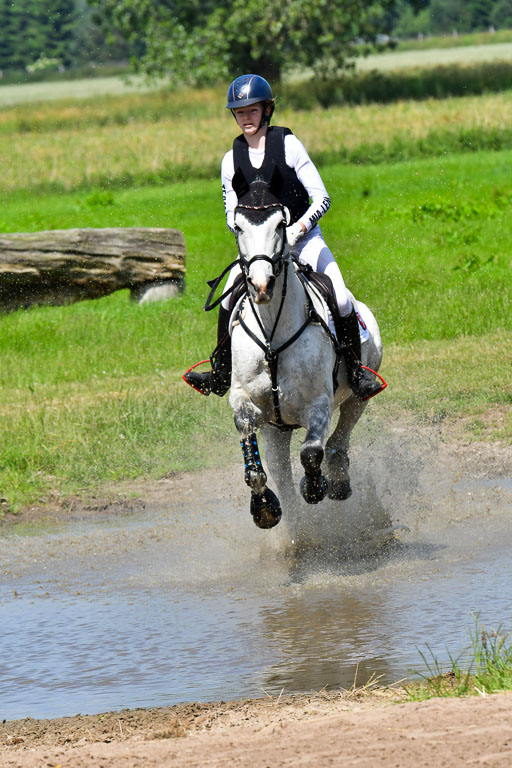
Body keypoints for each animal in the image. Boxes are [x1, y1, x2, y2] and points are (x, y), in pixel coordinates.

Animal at [227, 173, 384, 531]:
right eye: (239, 227)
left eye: (281, 225)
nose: (261, 285)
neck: (273, 337)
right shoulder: (244, 399)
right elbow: (251, 447)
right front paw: (264, 507)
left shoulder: (319, 404)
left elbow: (311, 453)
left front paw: (314, 487)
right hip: (276, 428)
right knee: (280, 469)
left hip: (358, 395)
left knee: (340, 436)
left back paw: (337, 479)